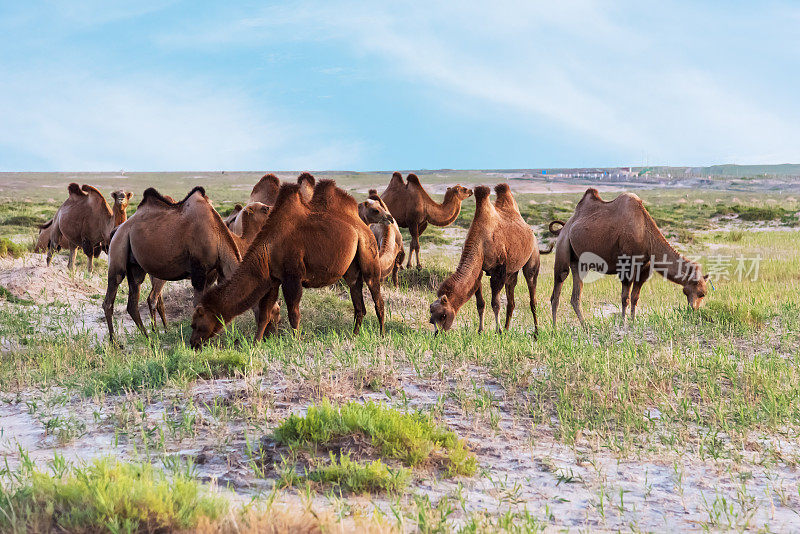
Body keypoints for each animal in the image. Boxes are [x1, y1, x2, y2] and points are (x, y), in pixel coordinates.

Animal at [101, 185, 266, 344]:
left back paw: (149, 339)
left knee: (133, 303)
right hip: (118, 255)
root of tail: (117, 229)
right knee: (109, 300)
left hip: (136, 268)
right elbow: (198, 304)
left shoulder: (213, 274)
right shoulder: (199, 271)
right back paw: (115, 343)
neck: (217, 236)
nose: (265, 336)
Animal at [191, 178, 384, 350]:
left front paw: (295, 342)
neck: (268, 248)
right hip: (352, 268)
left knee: (377, 296)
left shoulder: (292, 276)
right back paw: (354, 335)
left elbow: (293, 313)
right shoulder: (273, 279)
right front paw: (256, 343)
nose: (192, 343)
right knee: (358, 301)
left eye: (196, 323)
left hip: (368, 251)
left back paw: (382, 334)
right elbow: (265, 314)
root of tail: (361, 224)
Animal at [428, 184, 548, 336]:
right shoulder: (478, 271)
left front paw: (498, 331)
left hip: (532, 258)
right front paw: (481, 331)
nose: (438, 333)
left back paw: (536, 332)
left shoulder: (498, 271)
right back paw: (508, 330)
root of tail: (529, 229)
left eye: (443, 315)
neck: (480, 244)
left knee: (532, 297)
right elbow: (481, 303)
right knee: (511, 302)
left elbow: (495, 303)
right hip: (512, 272)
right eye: (431, 317)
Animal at [548, 188, 708, 326]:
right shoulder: (627, 265)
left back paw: (585, 327)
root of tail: (564, 227)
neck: (646, 234)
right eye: (701, 293)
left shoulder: (644, 269)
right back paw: (555, 328)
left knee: (575, 296)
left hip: (579, 262)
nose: (694, 311)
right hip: (563, 245)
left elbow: (635, 298)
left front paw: (633, 321)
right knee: (559, 284)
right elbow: (625, 297)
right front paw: (624, 322)